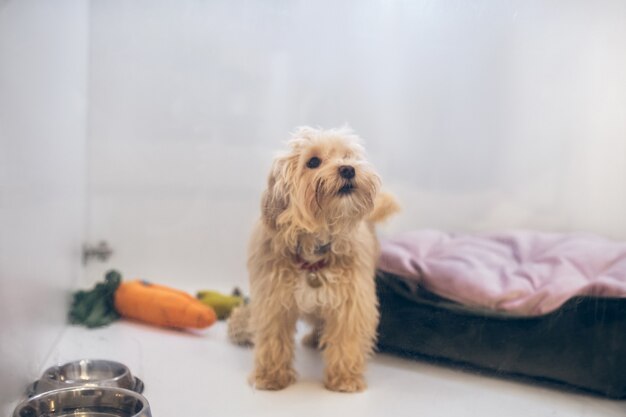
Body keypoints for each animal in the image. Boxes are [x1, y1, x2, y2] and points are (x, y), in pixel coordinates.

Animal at [227, 126, 398, 390]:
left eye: (347, 156)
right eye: (313, 162)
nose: (348, 169)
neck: (314, 250)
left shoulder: (351, 302)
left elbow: (346, 342)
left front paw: (344, 379)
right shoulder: (272, 300)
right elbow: (273, 339)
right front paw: (271, 376)